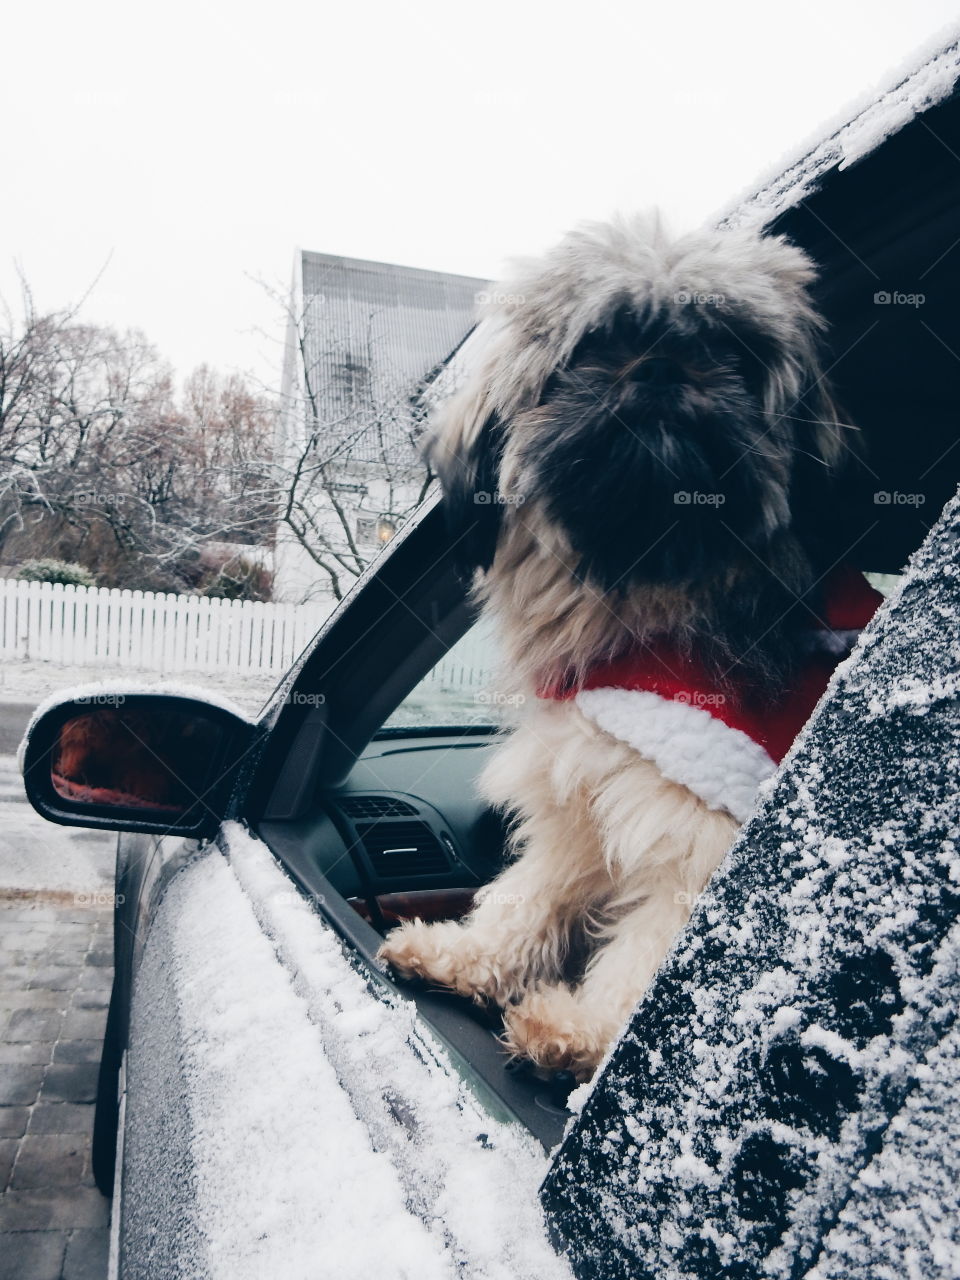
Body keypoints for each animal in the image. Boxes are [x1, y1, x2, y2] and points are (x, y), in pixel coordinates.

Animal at [376, 212, 880, 1080]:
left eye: (731, 350)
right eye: (599, 343)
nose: (665, 369)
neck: (647, 588)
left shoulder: (699, 825)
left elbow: (652, 949)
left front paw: (587, 1032)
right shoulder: (588, 777)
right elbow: (534, 891)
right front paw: (471, 957)